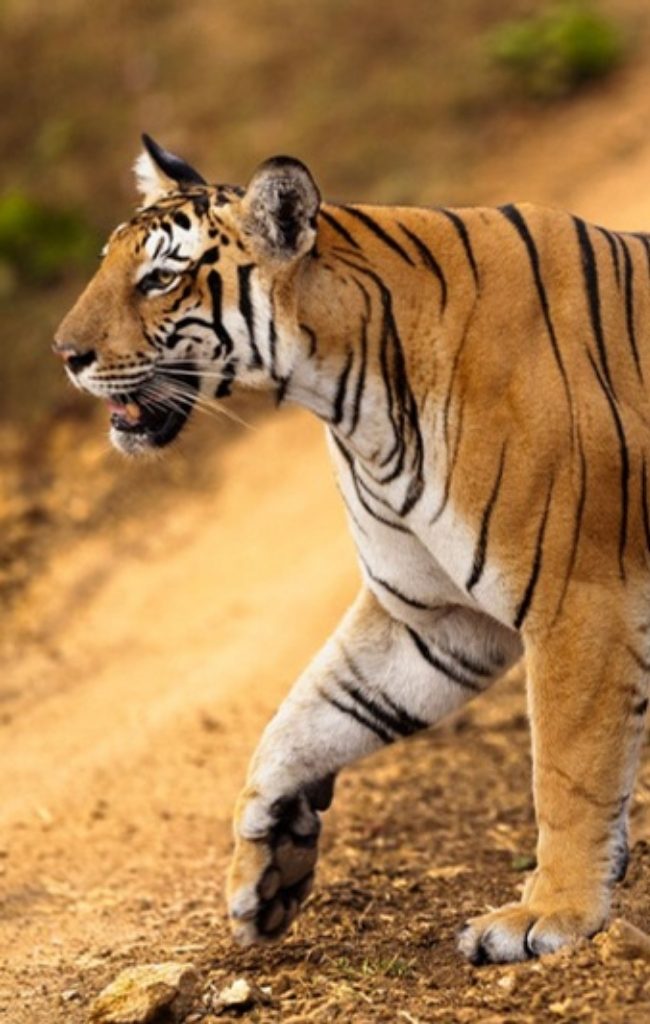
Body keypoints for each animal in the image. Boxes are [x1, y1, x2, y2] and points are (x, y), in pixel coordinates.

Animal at [54, 134, 650, 965]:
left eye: (160, 279)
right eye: (110, 264)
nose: (64, 354)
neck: (348, 395)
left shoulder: (579, 599)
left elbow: (569, 768)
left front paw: (550, 914)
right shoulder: (433, 618)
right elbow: (309, 712)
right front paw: (267, 862)